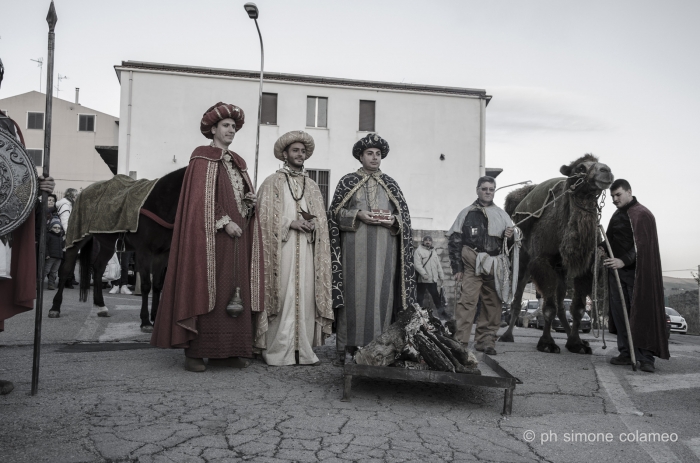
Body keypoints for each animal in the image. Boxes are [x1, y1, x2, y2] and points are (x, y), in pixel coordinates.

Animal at [50, 169, 186, 332]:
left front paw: (155, 318)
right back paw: (55, 307)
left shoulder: (163, 254)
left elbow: (158, 285)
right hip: (77, 237)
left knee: (98, 268)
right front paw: (145, 321)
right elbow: (146, 285)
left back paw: (101, 306)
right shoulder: (144, 252)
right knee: (66, 269)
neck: (159, 204)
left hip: (108, 246)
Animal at [498, 154, 612, 354]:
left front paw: (576, 343)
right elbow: (549, 307)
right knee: (518, 299)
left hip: (561, 271)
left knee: (561, 304)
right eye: (580, 168)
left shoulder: (585, 267)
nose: (606, 171)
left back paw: (575, 339)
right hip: (523, 261)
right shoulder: (542, 261)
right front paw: (547, 343)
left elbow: (578, 309)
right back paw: (507, 336)